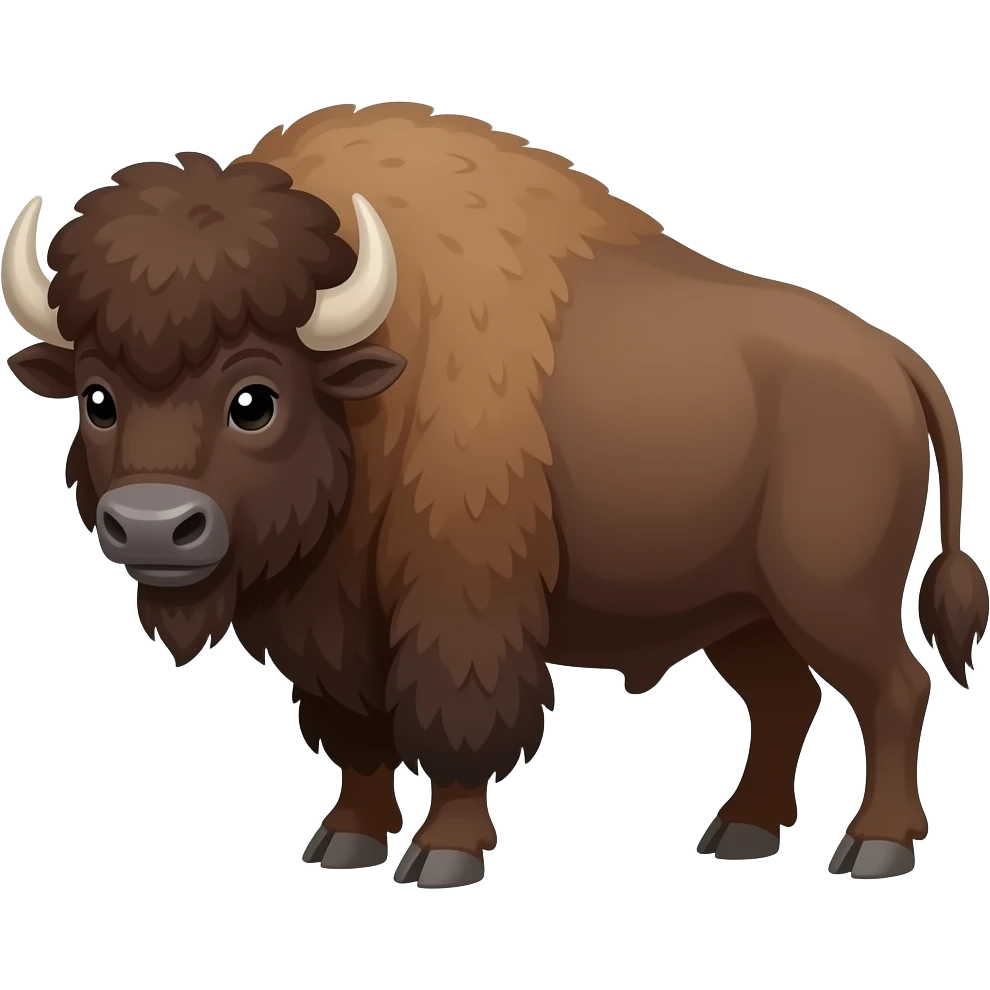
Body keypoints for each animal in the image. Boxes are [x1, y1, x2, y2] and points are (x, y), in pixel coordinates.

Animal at [4, 102, 986, 887]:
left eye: (256, 399)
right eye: (96, 398)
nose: (152, 526)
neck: (372, 391)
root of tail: (894, 361)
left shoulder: (460, 602)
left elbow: (453, 718)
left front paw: (443, 855)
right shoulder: (327, 627)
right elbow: (356, 736)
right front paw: (347, 843)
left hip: (831, 597)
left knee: (894, 690)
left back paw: (875, 848)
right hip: (743, 610)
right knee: (787, 699)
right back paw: (741, 833)